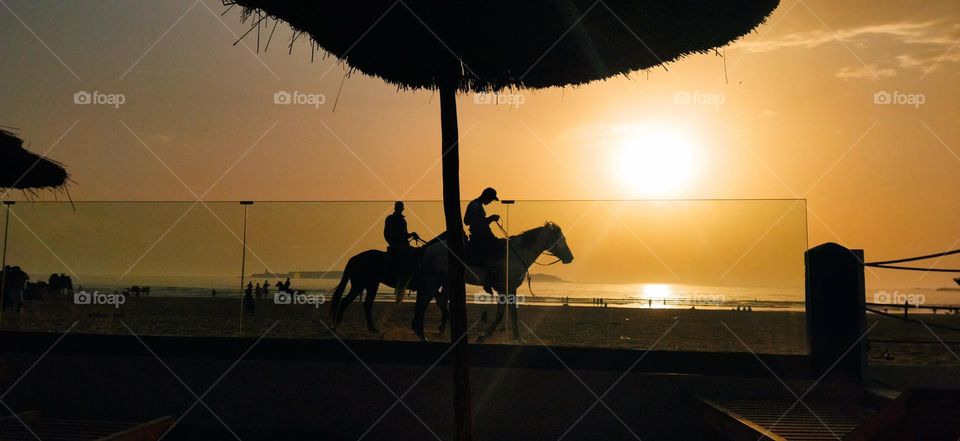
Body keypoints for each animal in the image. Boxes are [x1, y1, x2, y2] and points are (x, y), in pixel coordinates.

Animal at [410, 223, 572, 340]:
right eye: (562, 239)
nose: (570, 257)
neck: (516, 253)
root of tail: (427, 250)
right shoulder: (508, 288)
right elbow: (507, 313)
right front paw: (498, 336)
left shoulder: (506, 289)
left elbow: (506, 312)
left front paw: (506, 336)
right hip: (434, 281)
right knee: (424, 302)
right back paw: (423, 334)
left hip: (446, 281)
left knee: (440, 301)